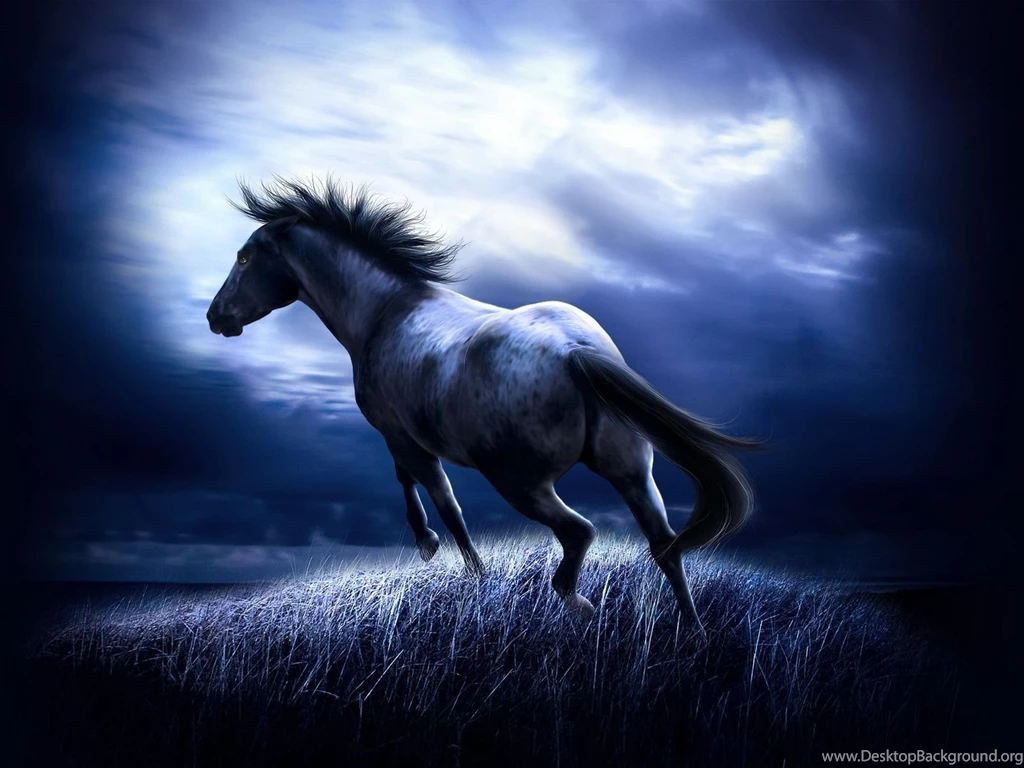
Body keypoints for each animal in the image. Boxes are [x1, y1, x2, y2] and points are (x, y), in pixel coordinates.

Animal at [207, 176, 759, 631]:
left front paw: (455, 562)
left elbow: (442, 500)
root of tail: (578, 352)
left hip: (519, 482)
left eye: (244, 258)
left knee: (579, 533)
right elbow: (415, 484)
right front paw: (435, 550)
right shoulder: (404, 438)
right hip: (633, 473)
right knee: (665, 546)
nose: (216, 318)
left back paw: (579, 604)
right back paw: (693, 632)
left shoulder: (401, 436)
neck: (385, 311)